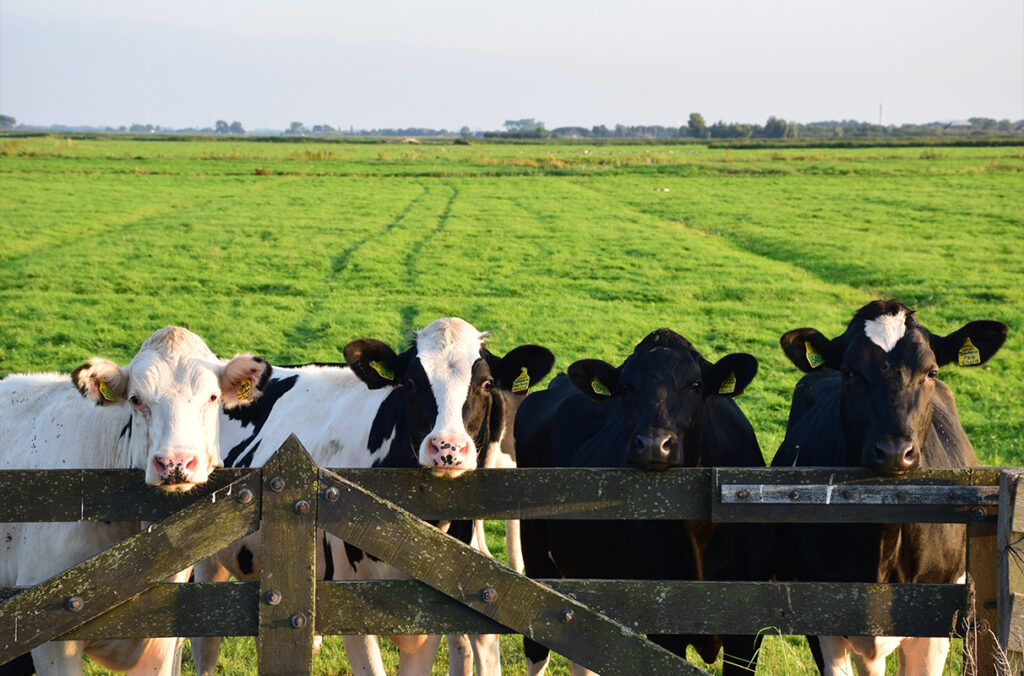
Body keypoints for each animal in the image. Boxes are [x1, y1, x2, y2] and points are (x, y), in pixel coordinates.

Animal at [515, 328, 767, 676]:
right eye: (625, 388)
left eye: (696, 384)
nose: (653, 444)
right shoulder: (662, 625)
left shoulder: (748, 635)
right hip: (536, 557)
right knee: (536, 646)